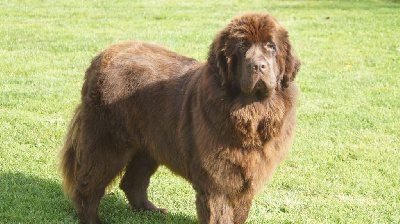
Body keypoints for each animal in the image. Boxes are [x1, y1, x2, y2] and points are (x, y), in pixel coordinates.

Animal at [59, 12, 300, 224]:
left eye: (271, 46)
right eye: (242, 47)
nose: (258, 66)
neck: (251, 113)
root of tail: (101, 56)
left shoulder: (247, 178)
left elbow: (240, 213)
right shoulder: (215, 181)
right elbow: (219, 214)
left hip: (149, 142)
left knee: (132, 182)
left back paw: (152, 210)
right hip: (107, 141)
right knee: (87, 186)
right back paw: (93, 218)